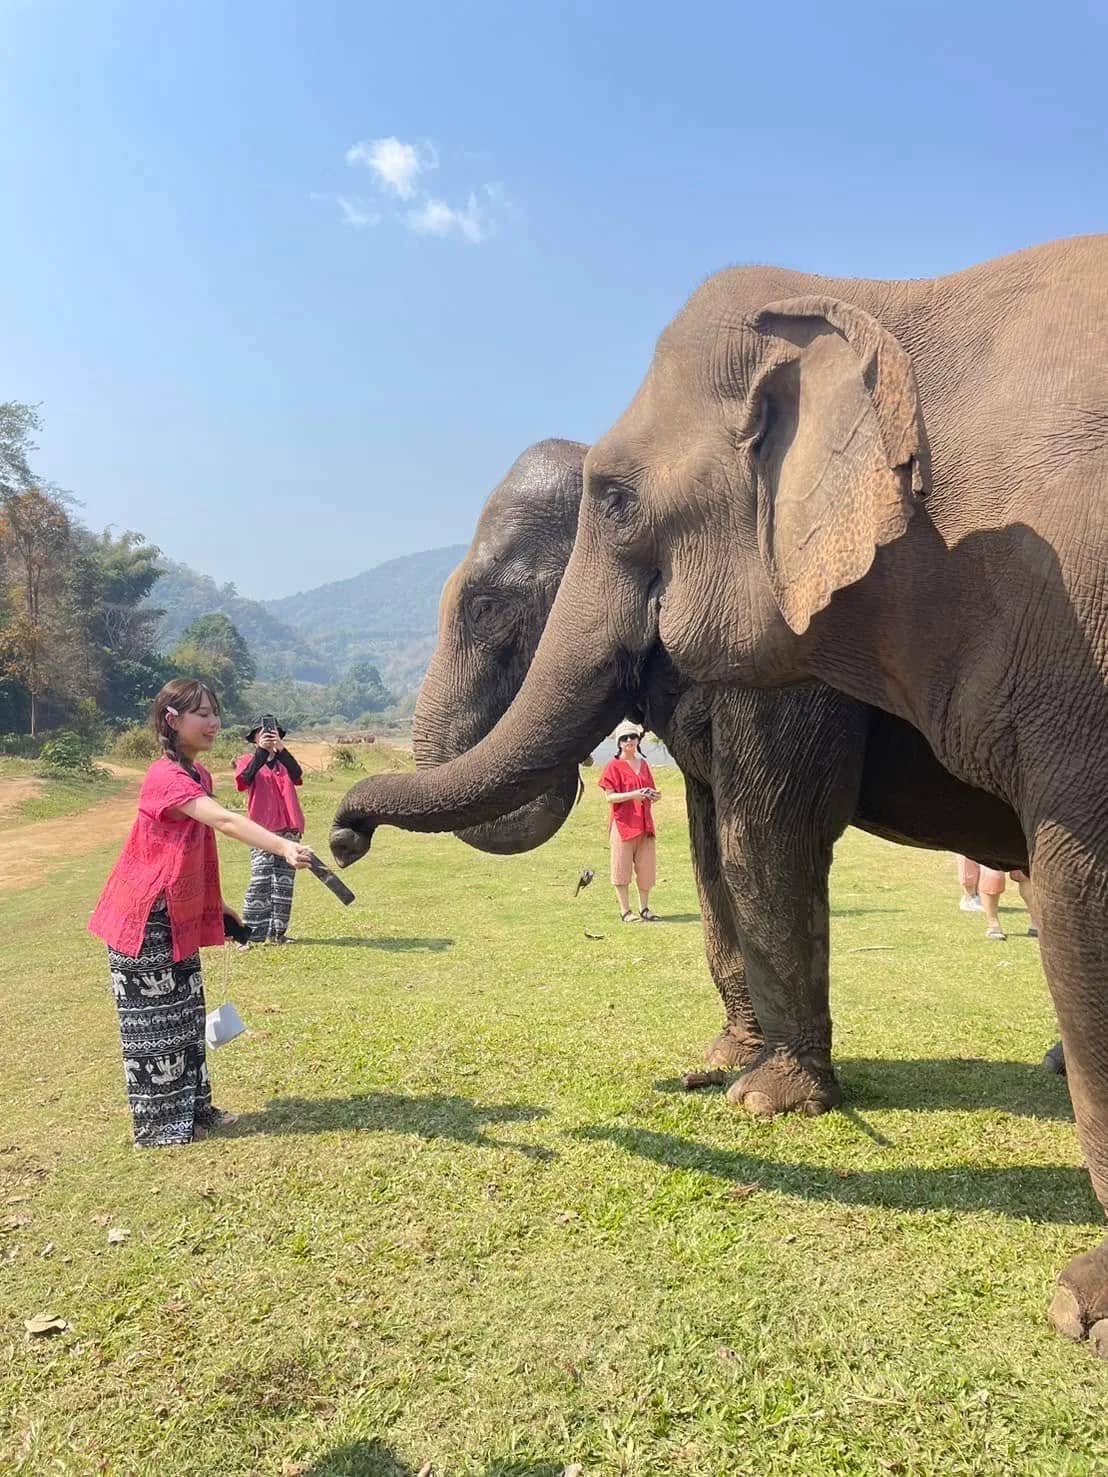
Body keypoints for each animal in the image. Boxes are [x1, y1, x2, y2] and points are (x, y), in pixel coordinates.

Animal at [329, 236, 1108, 1349]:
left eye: (486, 605)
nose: (343, 834)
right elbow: (704, 851)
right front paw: (717, 1065)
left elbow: (763, 838)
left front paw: (767, 1099)